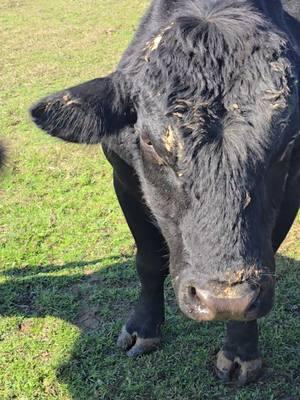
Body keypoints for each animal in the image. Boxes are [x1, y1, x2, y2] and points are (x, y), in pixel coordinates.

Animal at [29, 0, 298, 388]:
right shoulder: (124, 179)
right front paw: (143, 329)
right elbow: (148, 260)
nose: (223, 300)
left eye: (287, 143)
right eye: (150, 144)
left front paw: (241, 352)